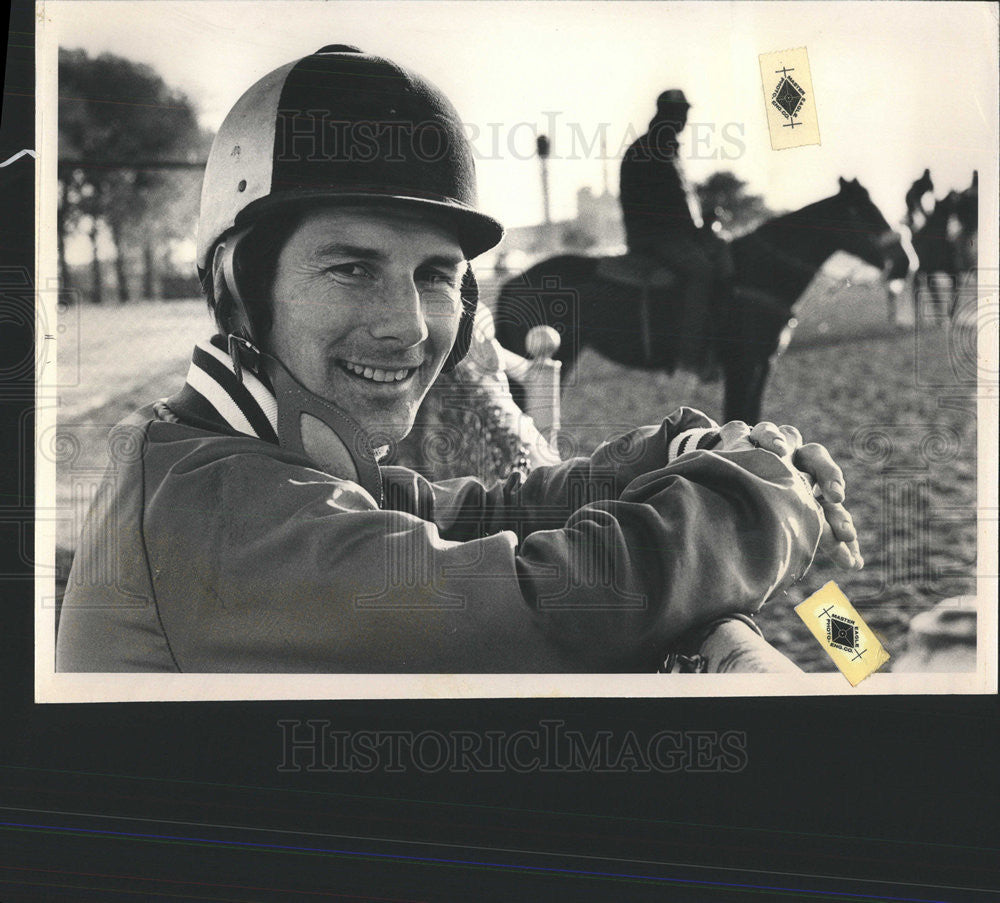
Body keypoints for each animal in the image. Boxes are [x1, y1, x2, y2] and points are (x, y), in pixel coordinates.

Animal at [496, 180, 896, 428]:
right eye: (862, 213)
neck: (758, 274)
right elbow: (738, 417)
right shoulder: (743, 366)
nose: (904, 260)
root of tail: (514, 281)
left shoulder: (761, 367)